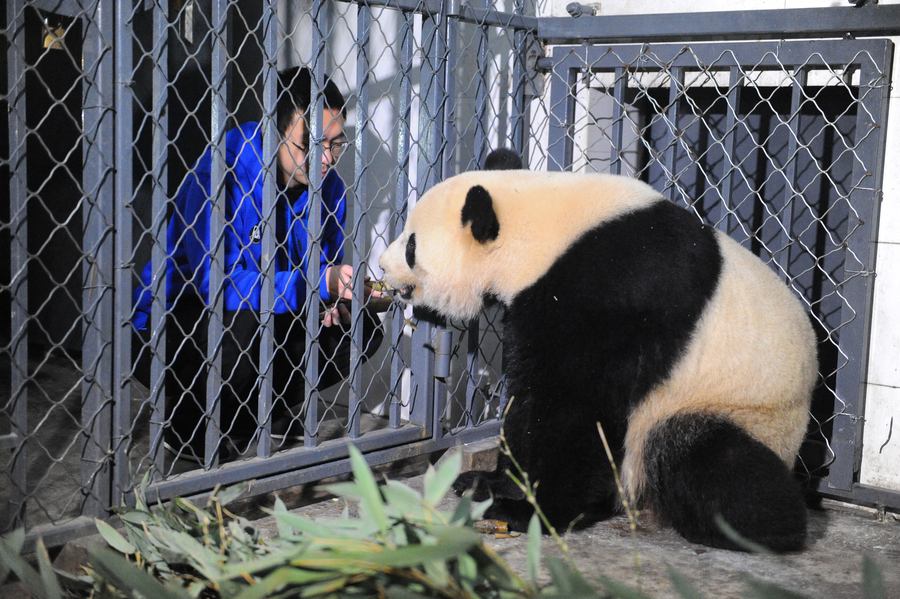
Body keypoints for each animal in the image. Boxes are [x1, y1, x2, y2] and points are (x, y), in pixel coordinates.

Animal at [378, 150, 818, 552]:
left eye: (412, 246)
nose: (381, 264)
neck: (538, 228)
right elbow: (529, 400)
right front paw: (488, 482)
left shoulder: (612, 290)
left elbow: (573, 407)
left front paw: (526, 511)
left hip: (732, 408)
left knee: (713, 464)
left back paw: (755, 529)